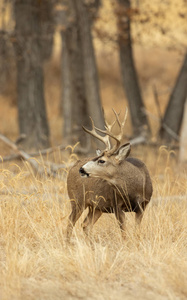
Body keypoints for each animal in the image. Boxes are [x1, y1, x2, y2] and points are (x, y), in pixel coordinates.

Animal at [66, 109, 153, 240]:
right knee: (70, 222)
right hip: (77, 200)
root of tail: (72, 167)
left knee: (86, 224)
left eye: (102, 161)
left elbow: (137, 232)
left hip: (96, 207)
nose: (81, 170)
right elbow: (124, 233)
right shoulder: (117, 205)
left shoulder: (142, 206)